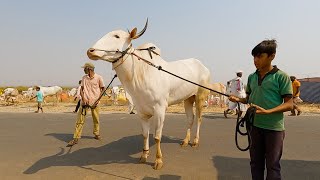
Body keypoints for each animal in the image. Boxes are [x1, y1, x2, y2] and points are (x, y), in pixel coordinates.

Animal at [87, 20, 211, 169]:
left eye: (117, 36)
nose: (90, 51)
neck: (140, 73)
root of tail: (203, 67)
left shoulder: (160, 110)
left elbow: (157, 137)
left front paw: (158, 160)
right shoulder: (141, 112)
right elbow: (145, 135)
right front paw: (144, 156)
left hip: (200, 96)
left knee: (199, 118)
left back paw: (195, 141)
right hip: (188, 99)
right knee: (190, 119)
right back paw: (185, 141)